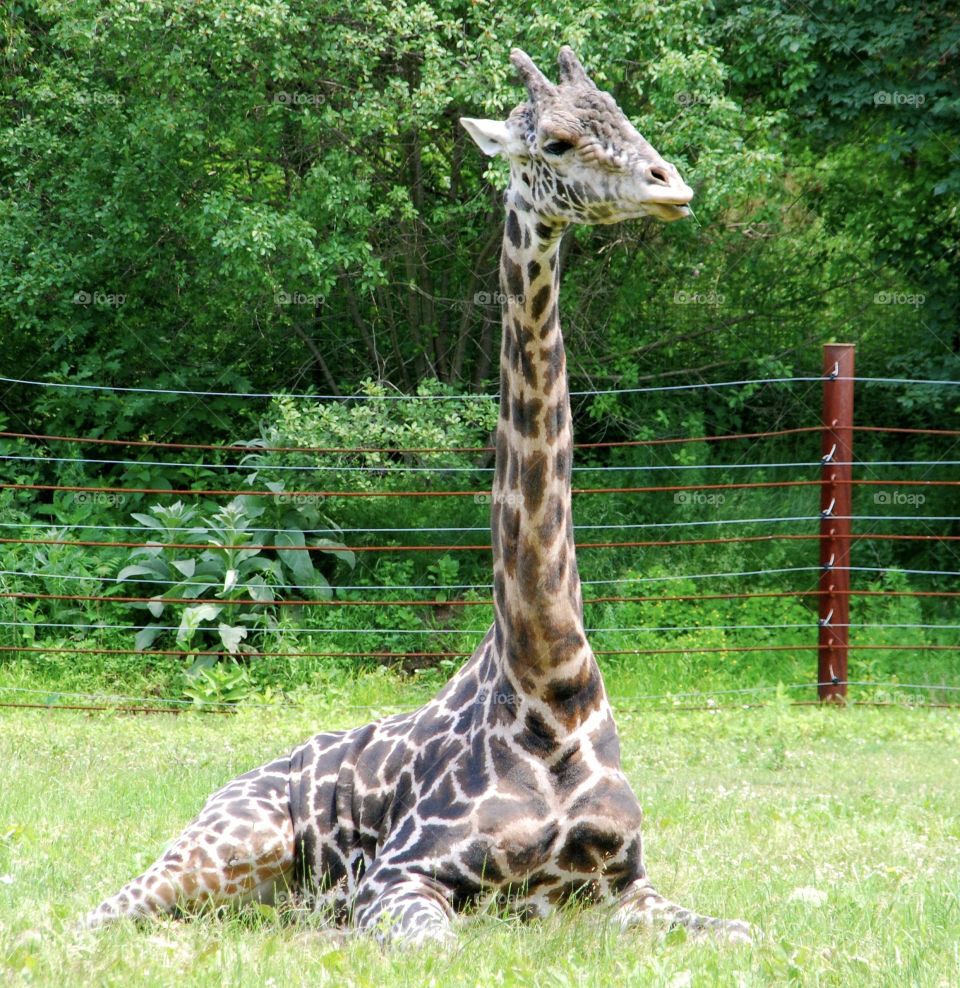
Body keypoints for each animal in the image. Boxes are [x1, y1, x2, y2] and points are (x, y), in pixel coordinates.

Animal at [82, 47, 752, 946]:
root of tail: (233, 781)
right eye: (557, 139)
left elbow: (747, 933)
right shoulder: (401, 876)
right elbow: (431, 944)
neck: (550, 682)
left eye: (624, 112)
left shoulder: (625, 886)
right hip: (228, 844)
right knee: (98, 915)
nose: (669, 185)